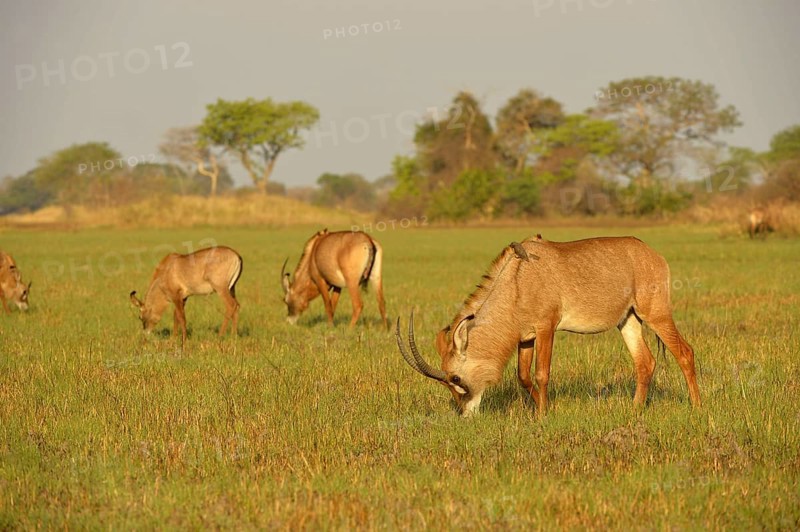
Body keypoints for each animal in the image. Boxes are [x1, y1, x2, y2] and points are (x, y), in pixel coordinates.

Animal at [397, 235, 701, 417]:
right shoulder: (525, 338)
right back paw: (635, 408)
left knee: (684, 352)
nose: (465, 413)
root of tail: (653, 255)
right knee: (644, 362)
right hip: (627, 320)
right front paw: (542, 409)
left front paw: (543, 415)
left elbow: (542, 373)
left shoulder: (546, 328)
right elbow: (523, 376)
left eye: (456, 379)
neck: (517, 279)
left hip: (655, 313)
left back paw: (697, 406)